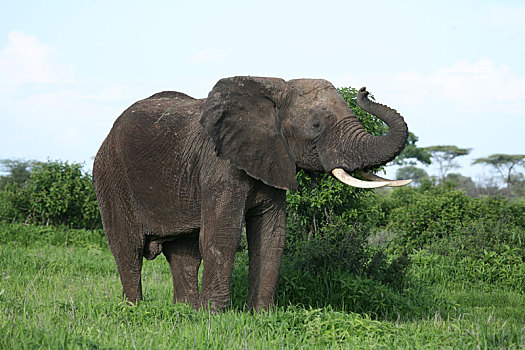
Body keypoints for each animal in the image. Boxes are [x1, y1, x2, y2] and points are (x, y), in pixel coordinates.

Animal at [93, 76, 410, 312]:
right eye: (316, 125)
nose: (364, 90)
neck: (274, 92)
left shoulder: (274, 159)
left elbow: (271, 238)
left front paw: (261, 315)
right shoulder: (219, 165)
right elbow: (222, 236)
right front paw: (213, 318)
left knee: (184, 254)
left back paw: (185, 311)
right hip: (111, 175)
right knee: (127, 247)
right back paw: (135, 309)